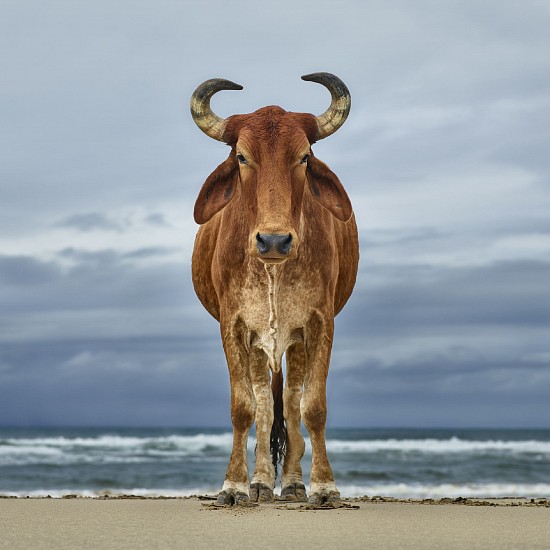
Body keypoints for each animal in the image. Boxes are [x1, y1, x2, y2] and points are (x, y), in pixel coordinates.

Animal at [191, 74, 362, 508]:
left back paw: (293, 484)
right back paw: (262, 483)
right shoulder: (234, 327)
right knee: (267, 408)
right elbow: (244, 408)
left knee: (291, 404)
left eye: (303, 157)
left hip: (295, 343)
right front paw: (234, 485)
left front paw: (324, 486)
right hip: (258, 346)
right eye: (241, 157)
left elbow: (313, 407)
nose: (273, 240)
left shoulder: (319, 324)